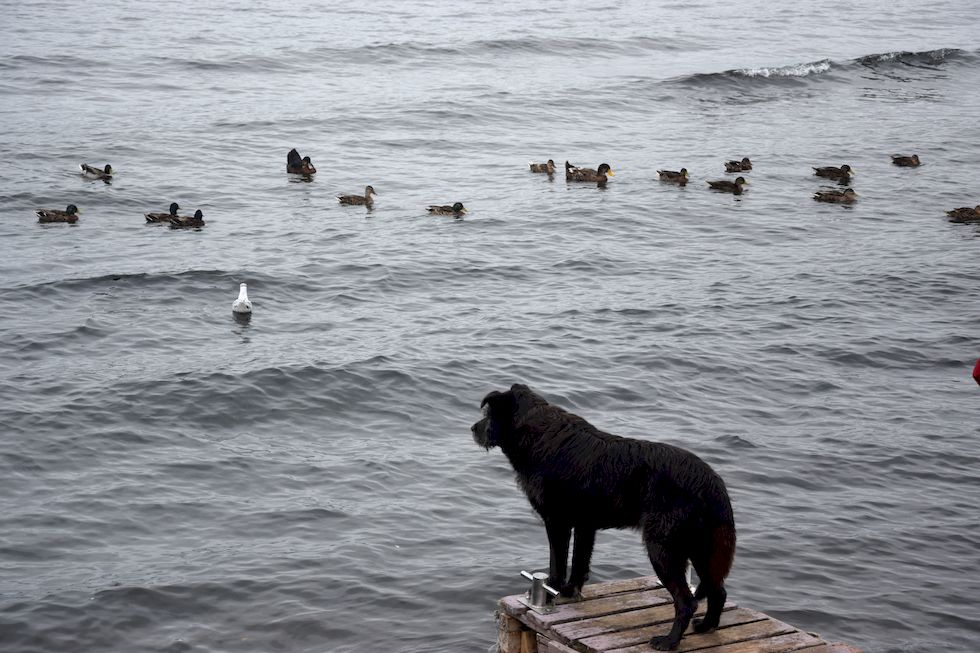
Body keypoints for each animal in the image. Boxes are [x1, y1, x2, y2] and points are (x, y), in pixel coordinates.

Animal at [472, 384, 736, 648]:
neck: (537, 432)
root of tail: (712, 484)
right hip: (700, 549)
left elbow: (557, 563)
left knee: (687, 601)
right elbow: (579, 563)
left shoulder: (557, 522)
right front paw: (570, 591)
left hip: (664, 549)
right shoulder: (584, 526)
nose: (473, 429)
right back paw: (706, 626)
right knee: (718, 590)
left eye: (488, 414)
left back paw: (669, 642)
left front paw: (551, 590)